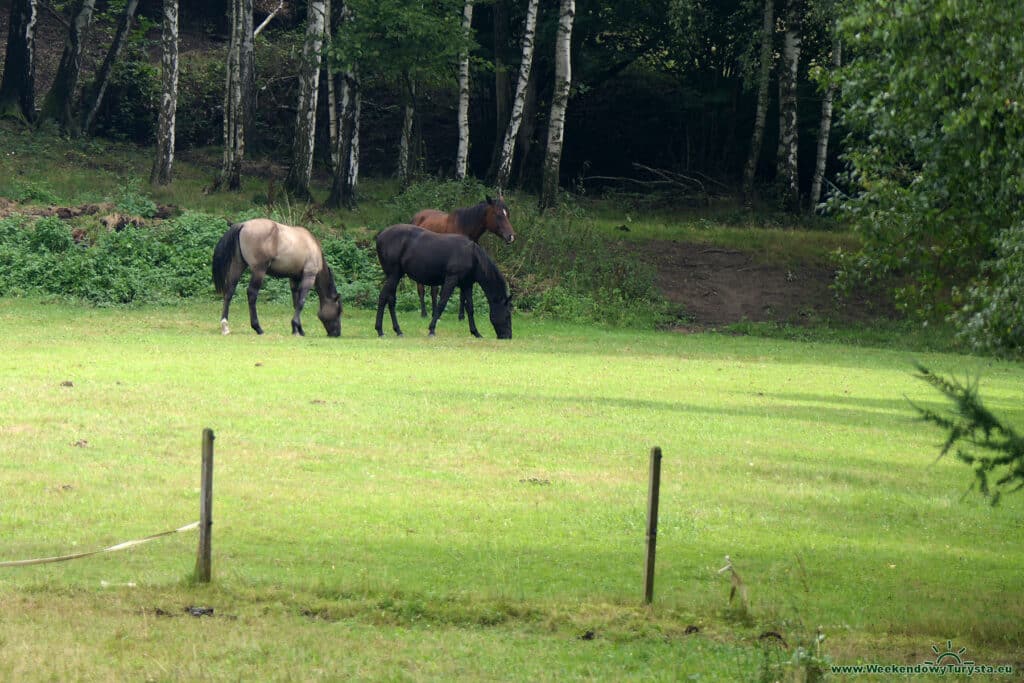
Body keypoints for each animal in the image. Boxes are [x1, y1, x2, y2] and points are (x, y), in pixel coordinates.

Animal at [211, 219, 344, 335]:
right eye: (338, 311)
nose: (337, 333)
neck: (313, 246)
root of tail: (243, 225)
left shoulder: (294, 279)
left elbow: (296, 303)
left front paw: (297, 329)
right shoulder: (309, 276)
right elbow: (301, 302)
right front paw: (297, 327)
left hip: (238, 266)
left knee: (229, 292)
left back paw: (225, 326)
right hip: (259, 270)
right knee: (252, 294)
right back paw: (258, 328)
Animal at [374, 225, 512, 339]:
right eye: (507, 315)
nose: (508, 336)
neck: (472, 256)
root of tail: (380, 236)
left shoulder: (467, 284)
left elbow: (470, 308)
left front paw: (476, 333)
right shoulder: (451, 279)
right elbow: (442, 303)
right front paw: (431, 330)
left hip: (396, 276)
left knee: (391, 299)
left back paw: (398, 331)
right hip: (393, 275)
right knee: (383, 297)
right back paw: (380, 331)